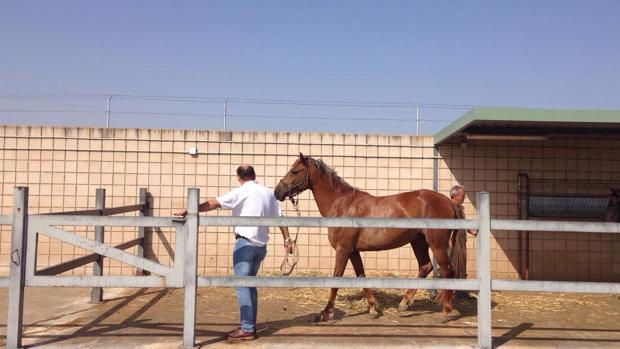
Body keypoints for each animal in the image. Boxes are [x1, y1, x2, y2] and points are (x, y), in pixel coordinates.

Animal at [272, 152, 464, 318]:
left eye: (295, 171)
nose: (277, 192)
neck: (342, 205)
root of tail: (448, 201)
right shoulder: (353, 251)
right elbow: (361, 276)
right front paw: (373, 307)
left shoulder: (343, 249)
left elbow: (336, 279)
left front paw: (326, 313)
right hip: (418, 242)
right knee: (425, 267)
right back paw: (404, 303)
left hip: (437, 244)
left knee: (446, 270)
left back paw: (446, 310)